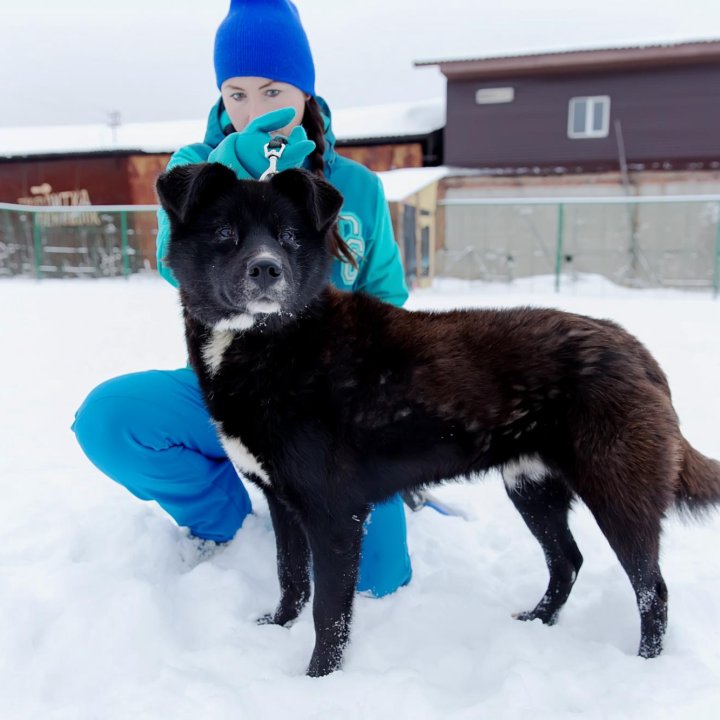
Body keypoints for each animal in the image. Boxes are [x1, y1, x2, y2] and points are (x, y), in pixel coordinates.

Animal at [158, 163, 720, 676]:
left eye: (290, 237)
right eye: (225, 233)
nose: (266, 270)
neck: (274, 342)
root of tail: (634, 348)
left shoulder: (335, 516)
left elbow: (328, 614)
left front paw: (317, 681)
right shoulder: (283, 503)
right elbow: (290, 577)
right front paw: (277, 627)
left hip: (618, 497)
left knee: (652, 591)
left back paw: (644, 668)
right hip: (531, 487)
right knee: (568, 561)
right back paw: (539, 620)